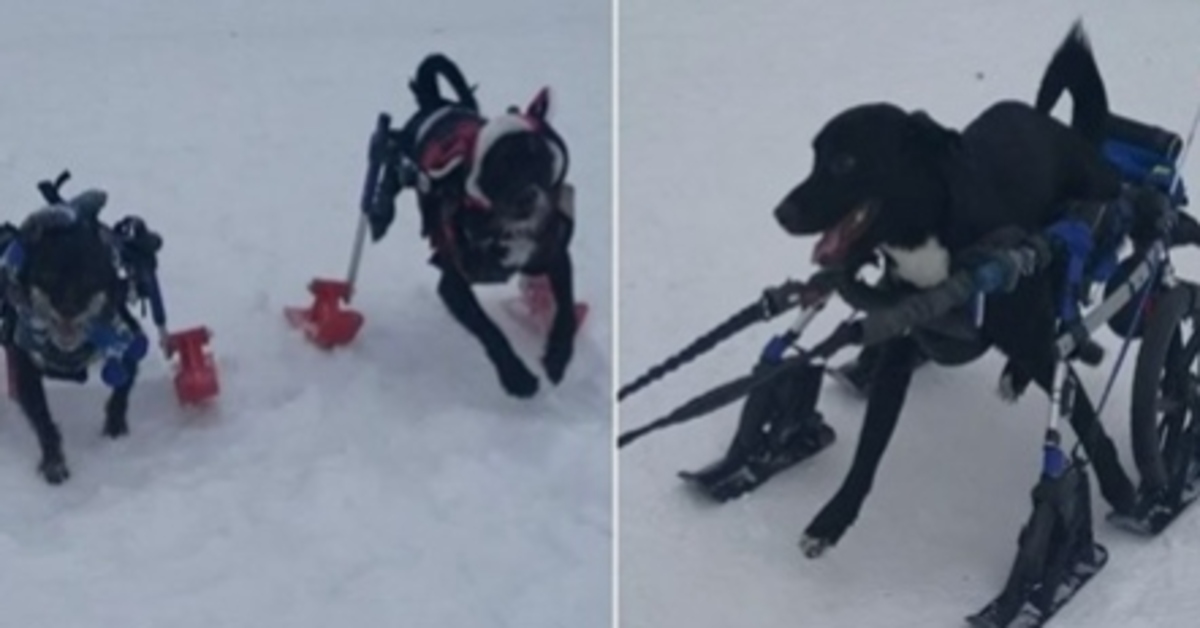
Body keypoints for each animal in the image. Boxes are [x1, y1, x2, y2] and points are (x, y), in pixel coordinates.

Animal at [1, 174, 160, 485]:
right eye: (48, 277)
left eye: (88, 279)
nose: (67, 310)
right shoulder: (24, 363)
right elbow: (43, 419)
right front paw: (53, 463)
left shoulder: (129, 339)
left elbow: (123, 385)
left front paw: (115, 427)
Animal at [367, 54, 578, 398]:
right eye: (506, 162)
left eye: (550, 165)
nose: (531, 197)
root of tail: (438, 102)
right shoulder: (452, 284)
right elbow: (489, 330)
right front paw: (517, 377)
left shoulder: (555, 258)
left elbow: (566, 312)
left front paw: (557, 358)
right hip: (406, 157)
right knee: (391, 163)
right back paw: (380, 214)